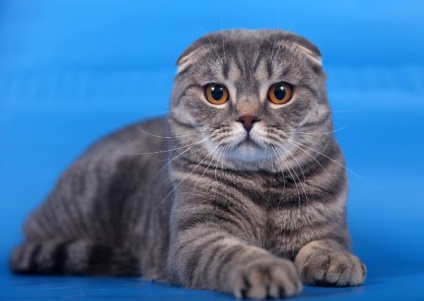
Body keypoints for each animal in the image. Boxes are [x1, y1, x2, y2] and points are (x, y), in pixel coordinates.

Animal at [11, 28, 366, 298]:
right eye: (216, 93)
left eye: (280, 92)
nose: (247, 118)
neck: (261, 184)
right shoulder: (198, 235)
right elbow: (233, 252)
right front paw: (266, 269)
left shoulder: (329, 224)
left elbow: (325, 242)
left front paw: (337, 260)